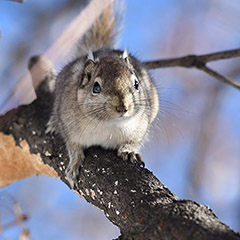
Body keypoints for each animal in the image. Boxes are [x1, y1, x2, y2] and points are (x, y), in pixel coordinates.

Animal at [46, 2, 160, 188]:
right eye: (96, 88)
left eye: (136, 84)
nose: (122, 107)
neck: (109, 124)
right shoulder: (68, 124)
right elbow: (73, 146)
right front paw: (74, 164)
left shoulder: (141, 126)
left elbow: (135, 141)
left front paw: (129, 151)